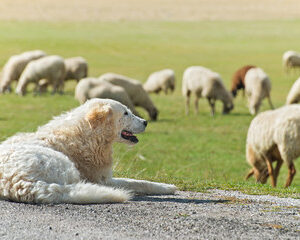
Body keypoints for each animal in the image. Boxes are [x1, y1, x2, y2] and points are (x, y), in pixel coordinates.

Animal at [0, 98, 176, 203]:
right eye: (126, 113)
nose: (146, 122)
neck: (89, 134)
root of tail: (18, 183)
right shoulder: (104, 179)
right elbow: (139, 182)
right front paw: (167, 187)